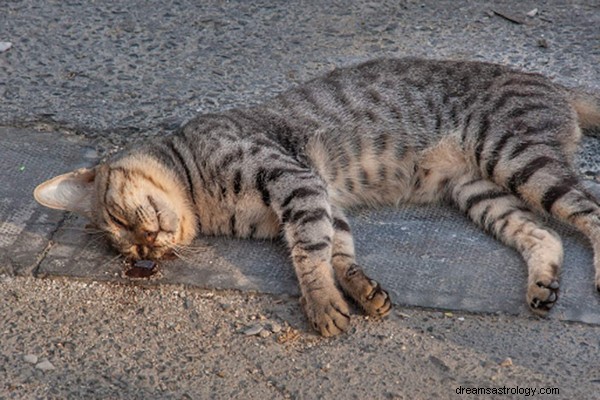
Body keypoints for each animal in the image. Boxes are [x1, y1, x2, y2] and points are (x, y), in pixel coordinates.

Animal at [34, 57, 600, 336]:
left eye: (119, 218)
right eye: (127, 250)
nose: (147, 248)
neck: (204, 197)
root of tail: (551, 84)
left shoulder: (293, 180)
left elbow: (308, 254)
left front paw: (323, 305)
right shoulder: (322, 198)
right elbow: (337, 251)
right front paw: (358, 290)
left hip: (513, 154)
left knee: (589, 210)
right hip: (479, 192)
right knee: (544, 234)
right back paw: (542, 285)